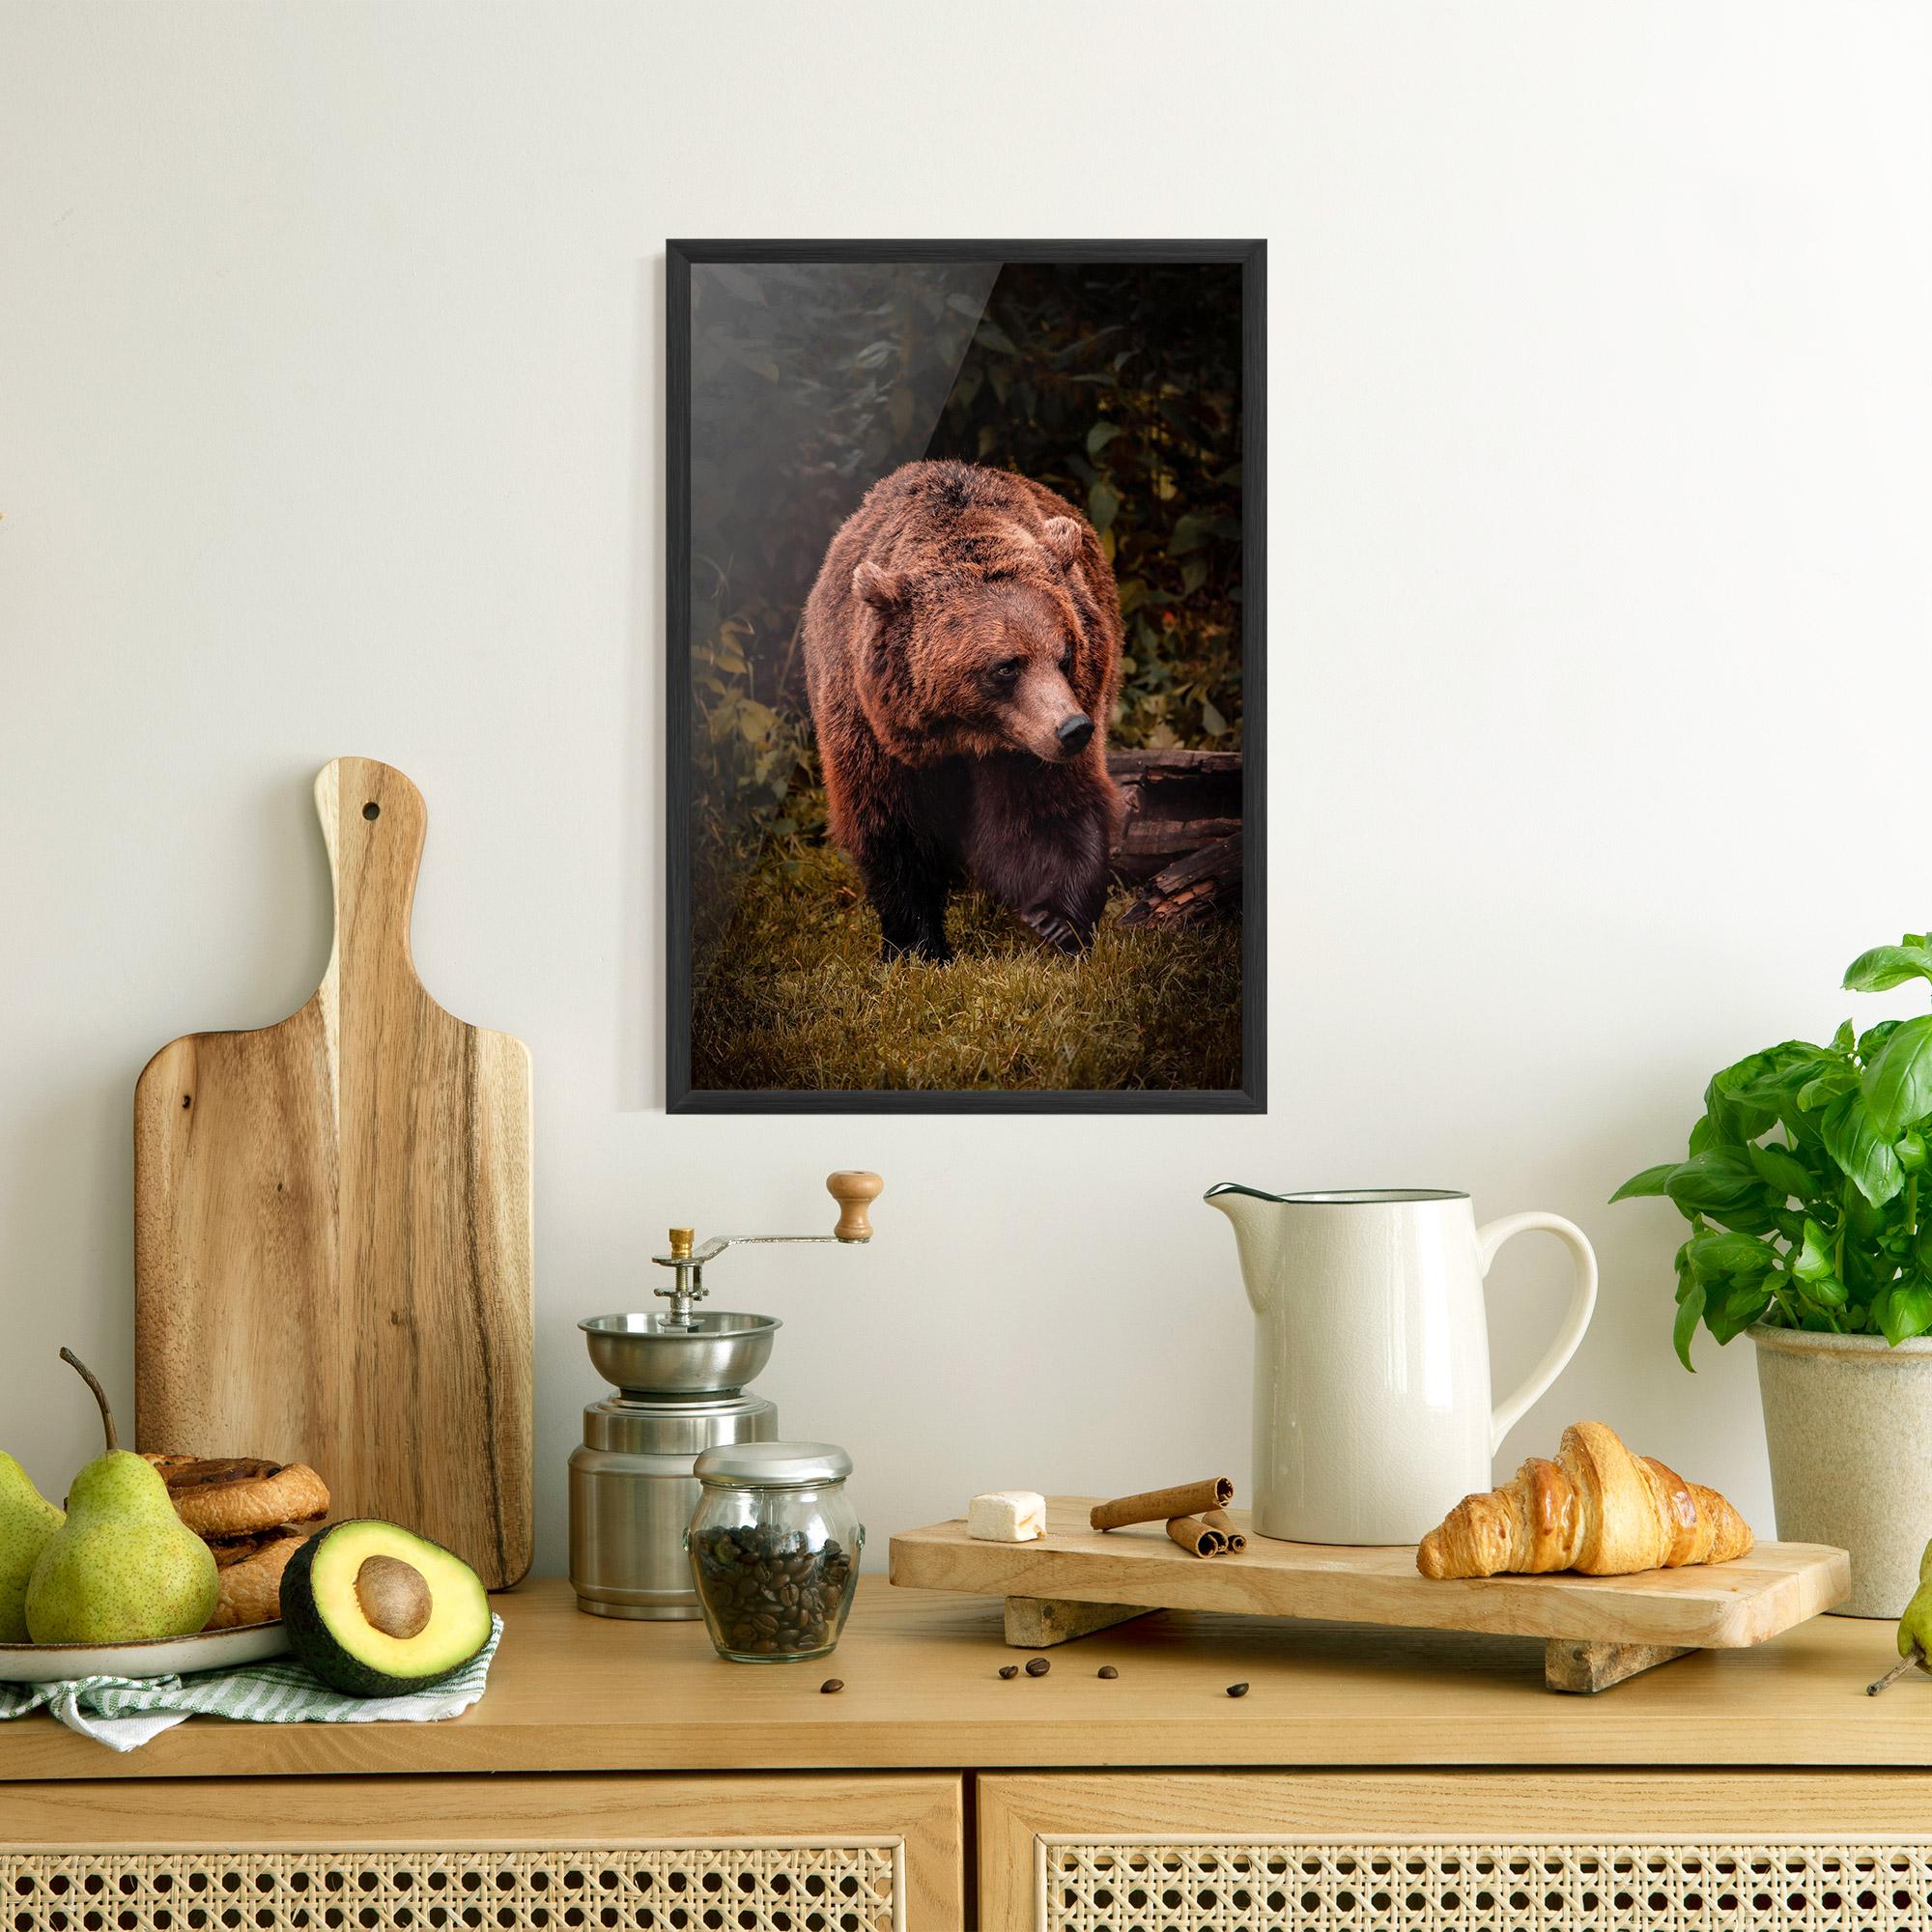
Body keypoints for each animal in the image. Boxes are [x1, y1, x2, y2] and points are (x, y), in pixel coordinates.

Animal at [800, 459, 1125, 963]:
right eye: (1006, 666)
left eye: (1066, 654)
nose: (1074, 729)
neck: (964, 734)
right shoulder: (870, 730)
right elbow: (893, 828)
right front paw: (918, 945)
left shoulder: (1028, 744)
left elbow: (1047, 812)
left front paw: (1058, 921)